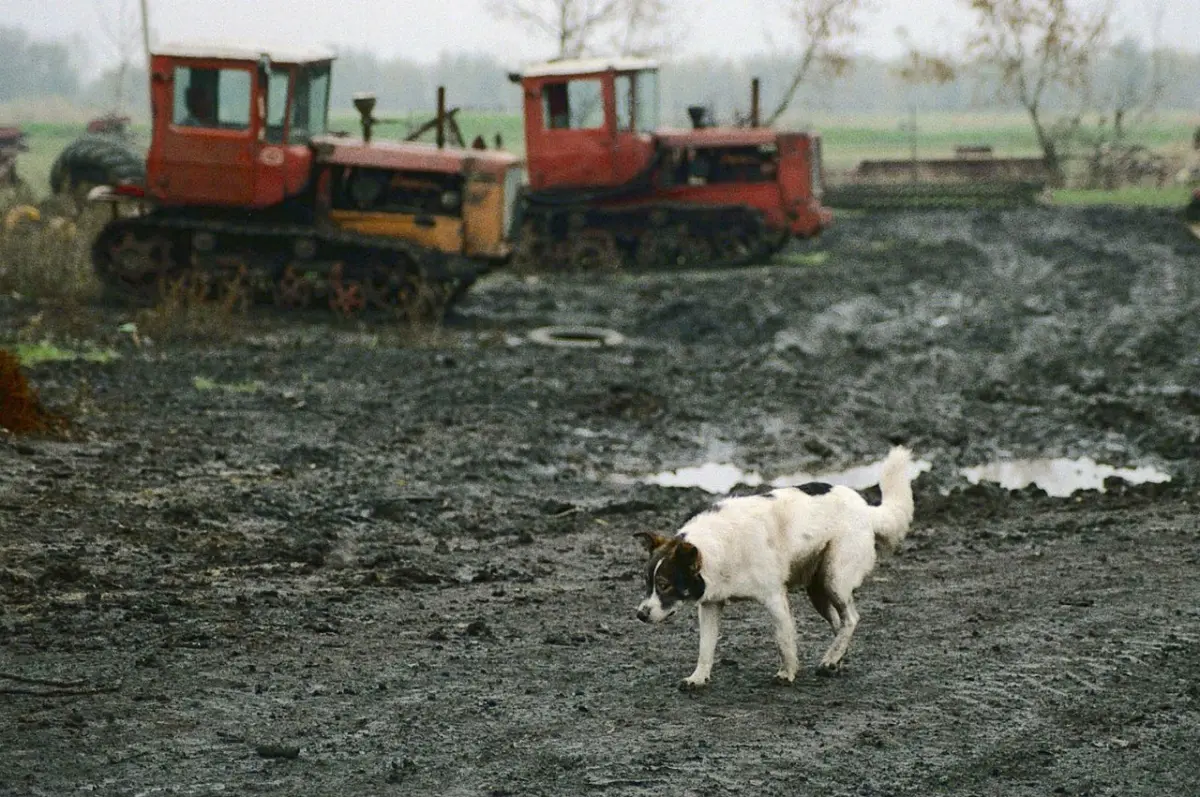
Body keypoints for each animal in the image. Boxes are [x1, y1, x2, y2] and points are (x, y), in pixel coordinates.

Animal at [633, 444, 912, 686]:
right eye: (647, 584)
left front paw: (787, 673)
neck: (719, 547)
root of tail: (866, 509)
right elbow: (705, 647)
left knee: (851, 619)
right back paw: (835, 660)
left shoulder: (775, 598)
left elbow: (783, 640)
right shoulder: (711, 605)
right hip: (818, 588)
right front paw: (698, 678)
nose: (640, 615)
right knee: (840, 623)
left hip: (834, 579)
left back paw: (831, 659)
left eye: (664, 585)